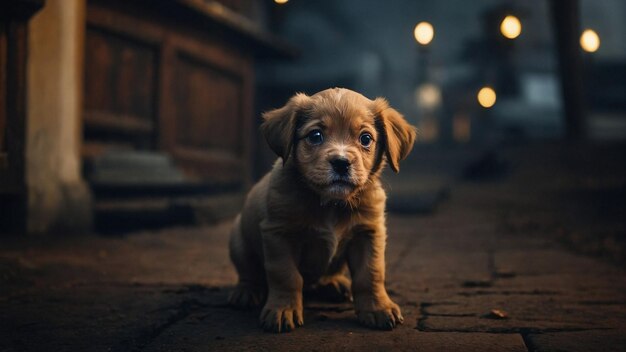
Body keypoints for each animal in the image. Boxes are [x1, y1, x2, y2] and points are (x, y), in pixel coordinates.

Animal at [228, 88, 414, 332]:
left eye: (365, 138)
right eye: (315, 136)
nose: (341, 163)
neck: (331, 203)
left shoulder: (369, 233)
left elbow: (370, 273)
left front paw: (377, 308)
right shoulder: (278, 234)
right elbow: (285, 275)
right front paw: (283, 309)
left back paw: (334, 283)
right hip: (238, 241)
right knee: (249, 272)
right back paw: (246, 291)